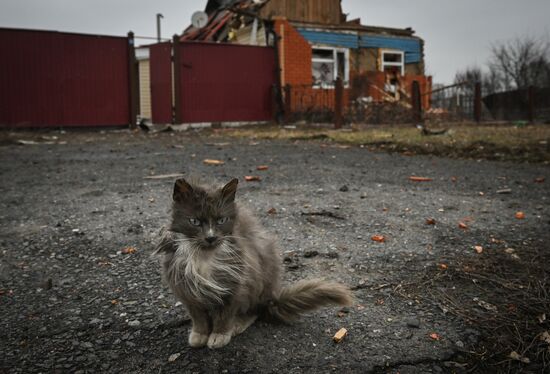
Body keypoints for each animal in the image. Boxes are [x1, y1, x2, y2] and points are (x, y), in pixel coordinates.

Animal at [155, 178, 354, 348]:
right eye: (194, 221)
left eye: (221, 220)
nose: (211, 238)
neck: (204, 257)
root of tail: (272, 300)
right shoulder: (186, 288)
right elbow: (198, 316)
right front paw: (200, 335)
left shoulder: (235, 285)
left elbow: (224, 315)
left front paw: (219, 335)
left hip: (257, 280)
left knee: (254, 312)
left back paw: (238, 324)